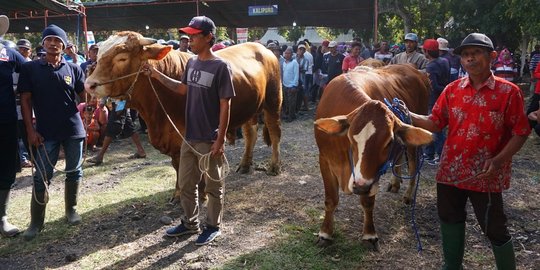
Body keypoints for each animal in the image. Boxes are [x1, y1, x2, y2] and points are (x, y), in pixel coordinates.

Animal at [85, 31, 282, 201]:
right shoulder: (174, 141)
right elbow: (177, 166)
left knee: (274, 132)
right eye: (99, 55)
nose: (89, 85)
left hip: (273, 100)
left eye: (122, 58)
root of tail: (263, 49)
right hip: (251, 107)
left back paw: (274, 166)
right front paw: (178, 193)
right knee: (251, 133)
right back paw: (245, 164)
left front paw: (201, 194)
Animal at [314, 63, 432, 249]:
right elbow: (331, 199)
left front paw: (369, 234)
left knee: (413, 165)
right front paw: (325, 233)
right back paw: (395, 183)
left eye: (389, 142)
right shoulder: (325, 159)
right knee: (399, 158)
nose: (361, 187)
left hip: (412, 142)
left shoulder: (371, 175)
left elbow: (368, 202)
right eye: (351, 138)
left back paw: (408, 195)